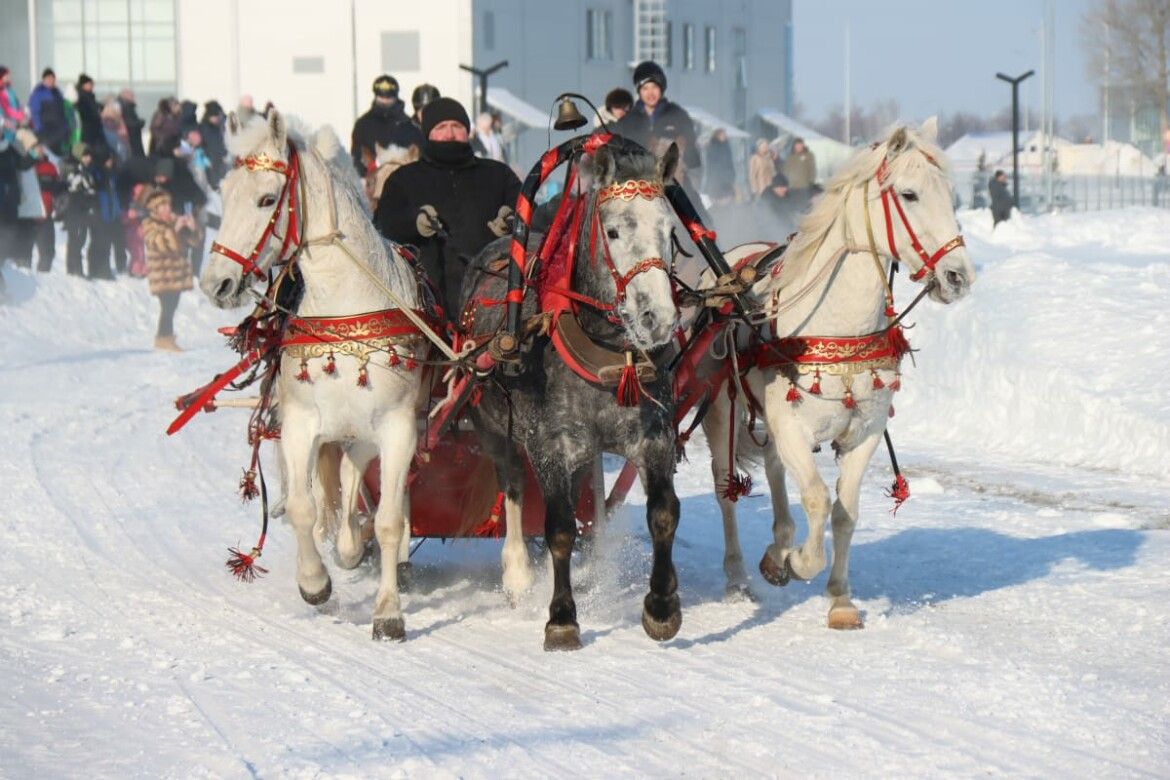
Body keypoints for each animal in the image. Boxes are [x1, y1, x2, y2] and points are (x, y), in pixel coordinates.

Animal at [203, 111, 428, 640]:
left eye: (267, 199)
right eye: (226, 193)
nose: (215, 282)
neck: (345, 304)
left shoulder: (397, 428)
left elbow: (388, 520)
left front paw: (388, 611)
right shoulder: (301, 422)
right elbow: (304, 509)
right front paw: (314, 583)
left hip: (365, 434)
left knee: (353, 482)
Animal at [702, 120, 978, 626]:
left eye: (951, 195)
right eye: (909, 194)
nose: (958, 276)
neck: (837, 324)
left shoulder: (861, 433)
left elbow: (844, 512)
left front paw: (839, 597)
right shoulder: (791, 426)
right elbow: (816, 497)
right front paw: (799, 562)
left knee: (773, 468)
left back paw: (778, 544)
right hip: (721, 415)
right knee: (724, 486)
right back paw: (738, 578)